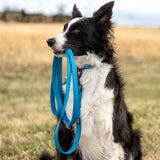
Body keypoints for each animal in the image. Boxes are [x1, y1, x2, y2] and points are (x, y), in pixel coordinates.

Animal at [42, 1, 141, 160]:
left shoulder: (111, 136)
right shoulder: (64, 132)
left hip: (134, 138)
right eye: (64, 29)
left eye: (76, 31)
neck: (85, 71)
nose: (49, 41)